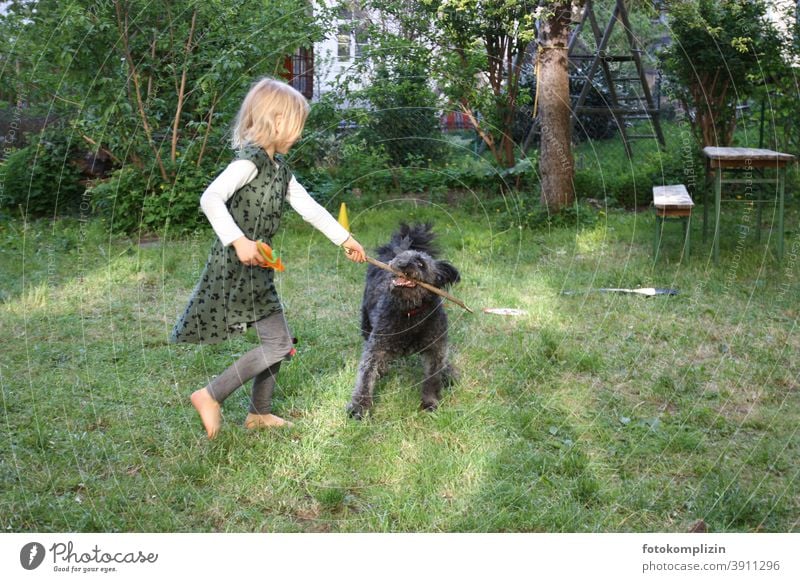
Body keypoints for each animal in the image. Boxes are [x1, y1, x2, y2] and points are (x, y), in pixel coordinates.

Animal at [346, 224, 462, 420]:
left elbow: (433, 377)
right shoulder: (376, 347)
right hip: (366, 324)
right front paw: (359, 407)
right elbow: (366, 375)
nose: (400, 264)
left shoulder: (435, 348)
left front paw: (430, 402)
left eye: (421, 264)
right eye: (400, 259)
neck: (410, 313)